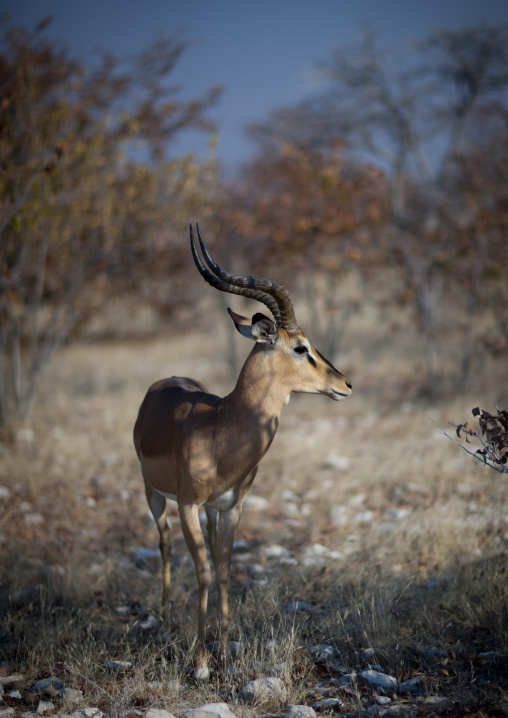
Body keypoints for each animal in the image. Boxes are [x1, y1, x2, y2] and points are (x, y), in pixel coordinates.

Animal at [133, 224, 352, 679]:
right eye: (301, 347)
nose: (345, 384)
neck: (221, 430)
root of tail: (163, 382)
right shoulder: (187, 504)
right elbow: (201, 571)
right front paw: (200, 662)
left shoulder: (232, 507)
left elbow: (223, 572)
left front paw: (227, 654)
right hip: (154, 496)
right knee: (164, 546)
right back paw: (164, 621)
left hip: (210, 512)